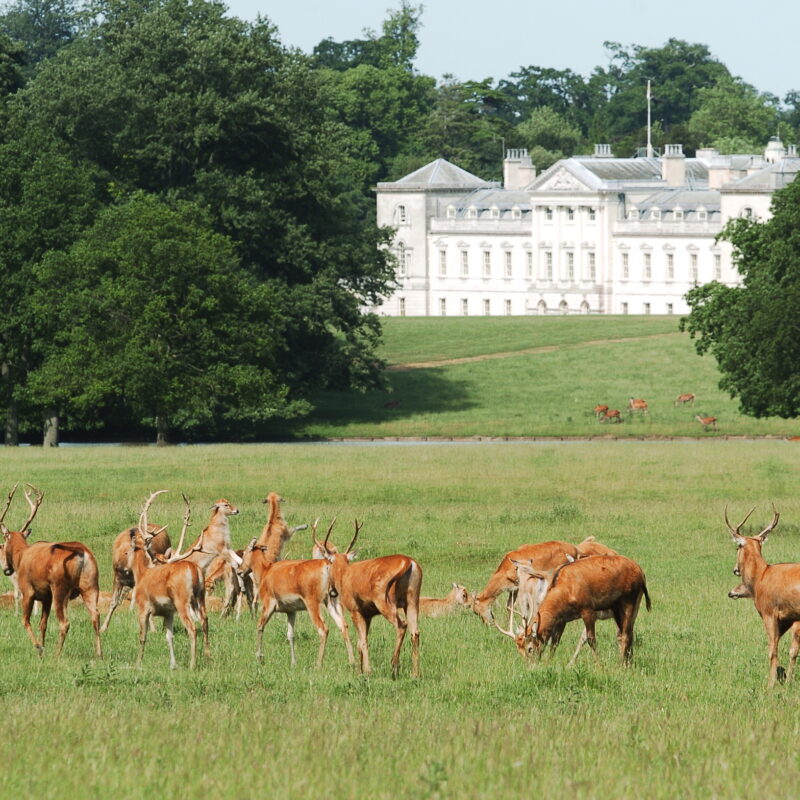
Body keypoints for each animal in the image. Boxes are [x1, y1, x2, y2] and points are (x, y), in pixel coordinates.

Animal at [0, 484, 103, 660]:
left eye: (3, 543)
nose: (6, 569)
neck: (20, 556)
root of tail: (81, 553)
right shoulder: (45, 597)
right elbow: (43, 624)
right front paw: (41, 650)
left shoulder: (28, 590)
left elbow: (25, 620)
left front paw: (39, 647)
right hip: (91, 584)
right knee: (95, 615)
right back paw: (99, 653)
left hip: (59, 588)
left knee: (64, 622)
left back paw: (57, 654)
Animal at [318, 520, 422, 680]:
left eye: (328, 565)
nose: (331, 591)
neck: (344, 575)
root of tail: (408, 562)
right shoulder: (368, 614)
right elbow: (360, 642)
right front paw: (360, 670)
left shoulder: (355, 609)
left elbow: (362, 641)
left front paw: (365, 671)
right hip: (412, 599)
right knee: (415, 632)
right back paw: (415, 673)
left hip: (384, 600)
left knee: (401, 625)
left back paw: (394, 667)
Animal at [720, 506, 800, 688]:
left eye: (737, 548)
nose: (735, 569)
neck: (762, 575)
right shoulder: (790, 618)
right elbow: (792, 651)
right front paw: (788, 681)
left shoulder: (769, 613)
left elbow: (772, 650)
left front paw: (770, 684)